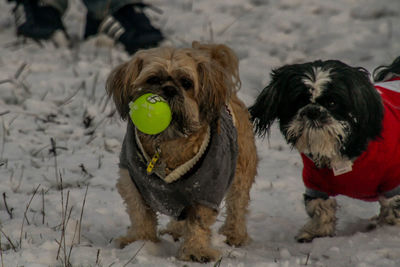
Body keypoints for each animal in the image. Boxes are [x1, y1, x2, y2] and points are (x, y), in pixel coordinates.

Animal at [105, 42, 256, 264]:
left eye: (186, 82)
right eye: (153, 79)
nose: (169, 89)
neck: (168, 144)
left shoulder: (205, 191)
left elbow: (198, 222)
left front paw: (196, 250)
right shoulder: (132, 181)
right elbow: (140, 213)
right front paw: (140, 242)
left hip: (241, 170)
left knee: (238, 203)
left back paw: (233, 234)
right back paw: (175, 230)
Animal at [250, 56, 400, 243]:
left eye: (332, 102)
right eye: (300, 101)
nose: (313, 111)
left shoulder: (393, 178)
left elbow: (393, 205)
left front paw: (389, 226)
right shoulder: (315, 181)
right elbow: (320, 207)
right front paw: (317, 231)